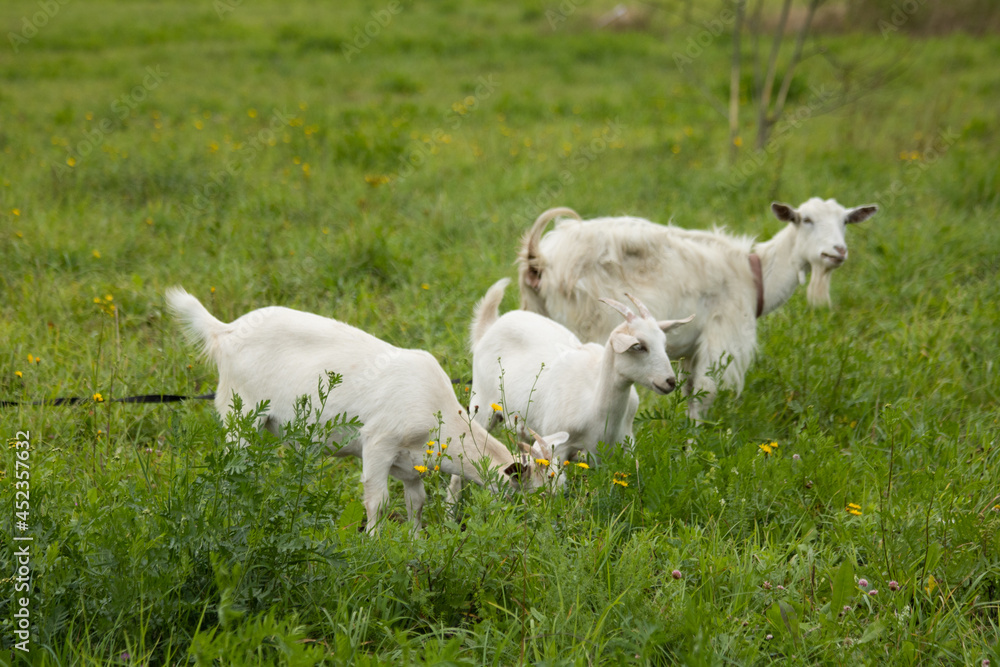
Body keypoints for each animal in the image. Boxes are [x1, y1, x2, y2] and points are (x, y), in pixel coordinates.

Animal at [168, 290, 568, 536]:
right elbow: (377, 501)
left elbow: (416, 503)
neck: (440, 416)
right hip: (240, 412)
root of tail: (225, 331)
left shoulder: (410, 464)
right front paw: (375, 543)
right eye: (537, 491)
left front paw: (415, 541)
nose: (556, 526)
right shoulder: (378, 443)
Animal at [466, 280, 688, 462]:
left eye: (663, 343)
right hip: (481, 406)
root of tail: (490, 326)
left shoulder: (620, 447)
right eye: (639, 346)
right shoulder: (557, 446)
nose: (670, 381)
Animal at [520, 196, 880, 420]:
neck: (755, 276)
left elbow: (690, 392)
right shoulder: (722, 335)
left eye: (846, 221)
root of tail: (540, 258)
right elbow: (705, 394)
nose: (837, 251)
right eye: (805, 219)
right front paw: (693, 448)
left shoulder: (689, 350)